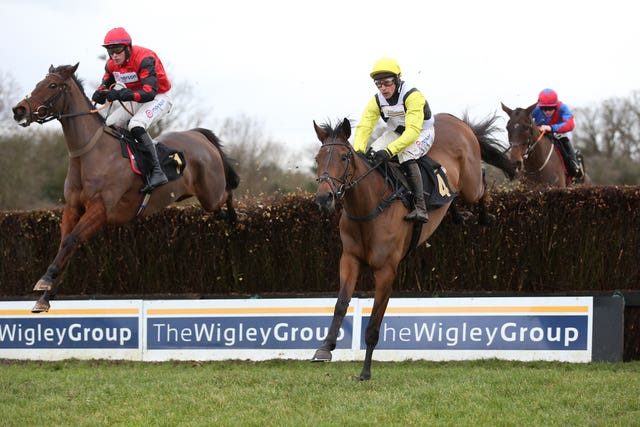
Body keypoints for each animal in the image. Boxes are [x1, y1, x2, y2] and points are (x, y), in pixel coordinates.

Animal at [12, 63, 240, 312]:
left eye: (52, 85)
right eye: (38, 84)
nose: (19, 110)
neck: (89, 153)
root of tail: (198, 136)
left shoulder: (100, 210)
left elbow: (72, 240)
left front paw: (46, 279)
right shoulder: (73, 208)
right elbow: (66, 243)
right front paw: (46, 294)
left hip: (211, 193)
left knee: (228, 194)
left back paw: (234, 219)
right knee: (219, 208)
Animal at [310, 114, 516, 382]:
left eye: (344, 158)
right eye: (318, 158)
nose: (324, 198)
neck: (368, 209)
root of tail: (456, 120)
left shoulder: (386, 271)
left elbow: (374, 324)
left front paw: (365, 371)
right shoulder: (349, 259)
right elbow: (341, 304)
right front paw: (325, 348)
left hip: (470, 183)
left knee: (480, 179)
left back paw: (485, 216)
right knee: (452, 195)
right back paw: (458, 215)